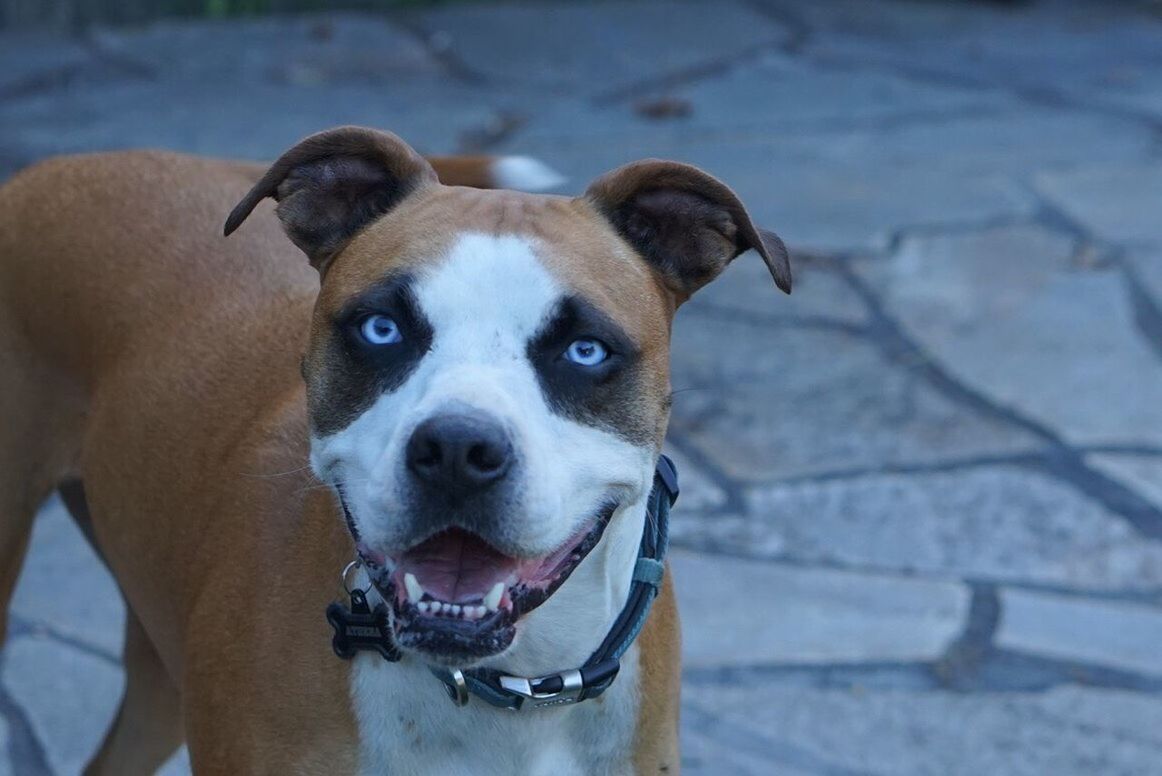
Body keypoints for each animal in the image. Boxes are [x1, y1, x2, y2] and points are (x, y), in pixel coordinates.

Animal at [0, 124, 790, 771]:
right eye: (382, 328)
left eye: (585, 349)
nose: (458, 449)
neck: (509, 687)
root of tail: (69, 163)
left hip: (161, 663)